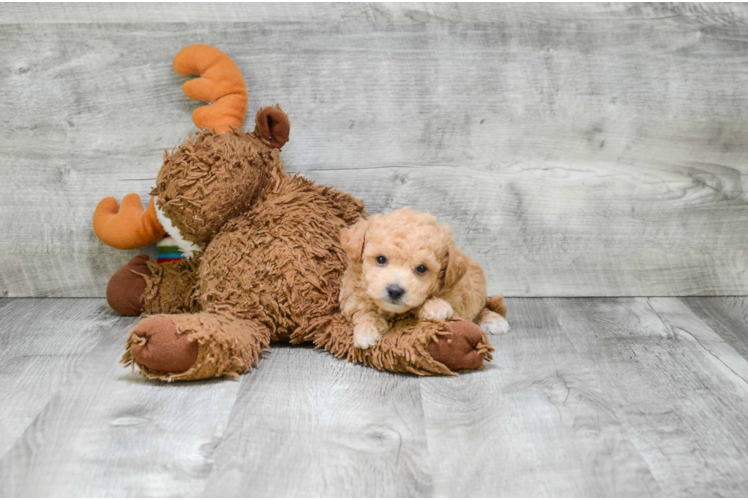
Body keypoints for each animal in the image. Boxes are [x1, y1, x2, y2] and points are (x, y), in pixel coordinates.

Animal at [340, 207, 508, 348]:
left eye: (421, 268)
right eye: (381, 259)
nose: (394, 291)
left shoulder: (457, 301)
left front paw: (434, 306)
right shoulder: (352, 295)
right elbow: (364, 310)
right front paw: (366, 329)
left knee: (482, 308)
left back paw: (495, 320)